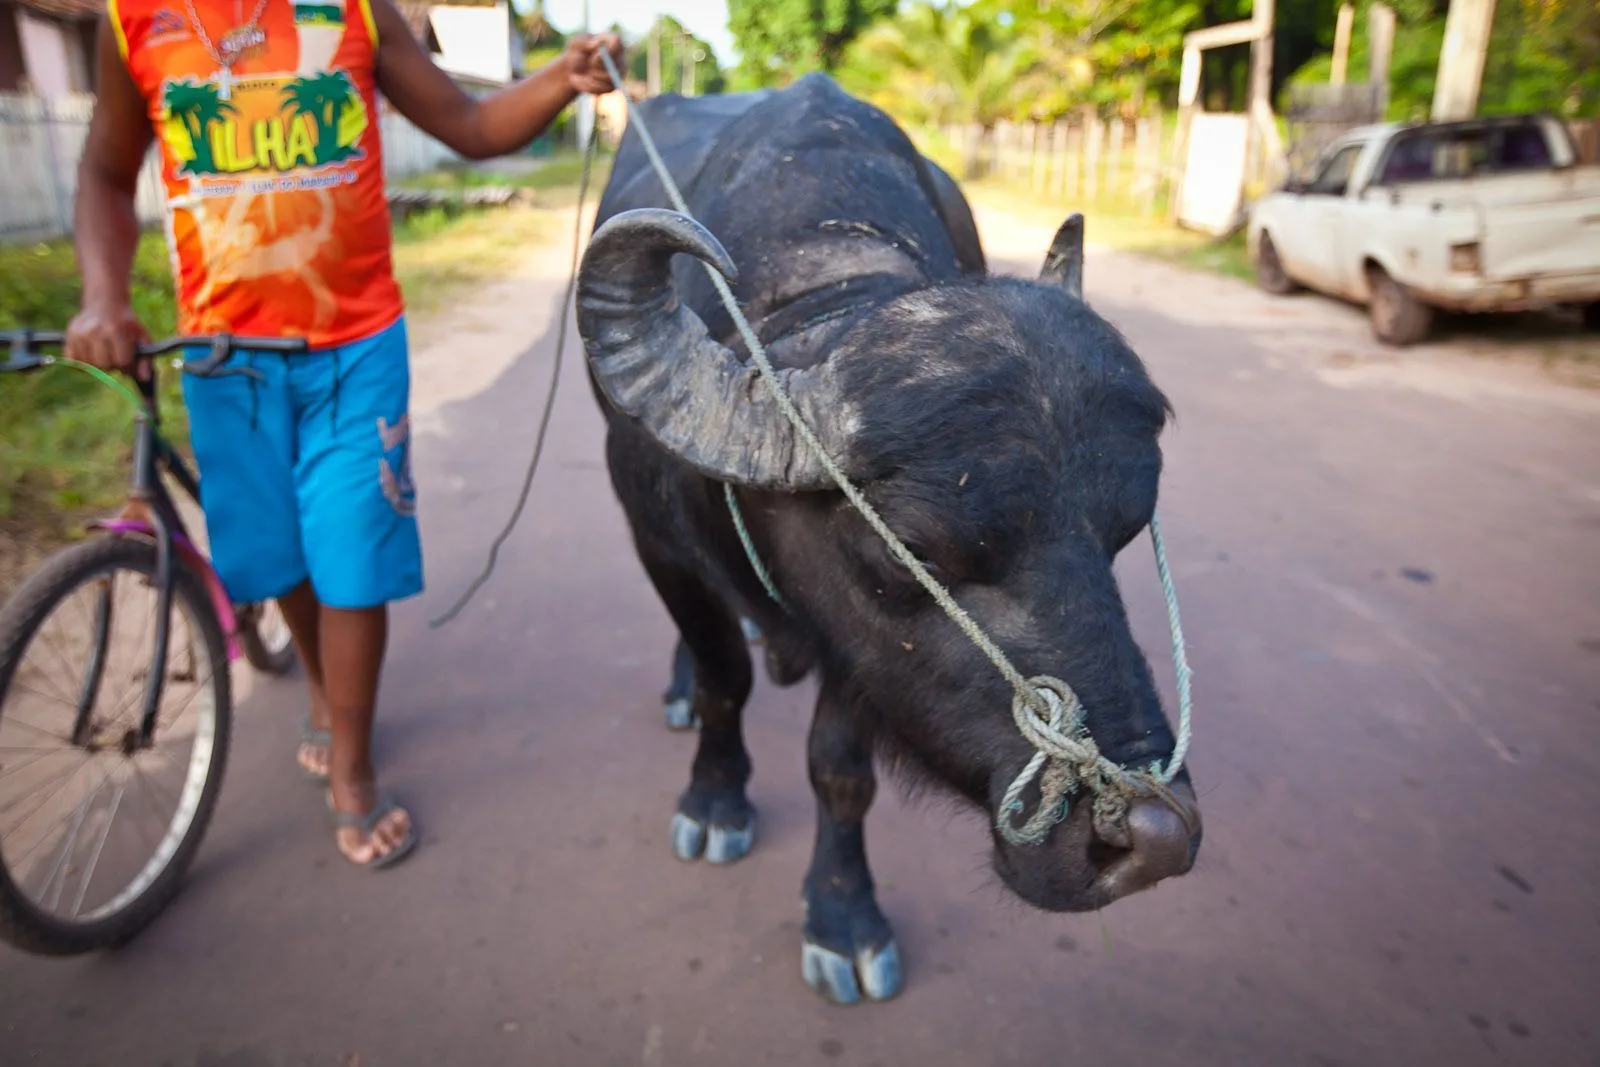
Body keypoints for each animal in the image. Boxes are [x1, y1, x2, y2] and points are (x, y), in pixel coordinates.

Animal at [575, 73, 1200, 1005]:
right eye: (913, 550)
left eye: (1124, 532)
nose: (1155, 835)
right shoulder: (658, 541)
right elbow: (725, 680)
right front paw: (716, 798)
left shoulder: (861, 651)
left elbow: (840, 770)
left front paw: (843, 915)